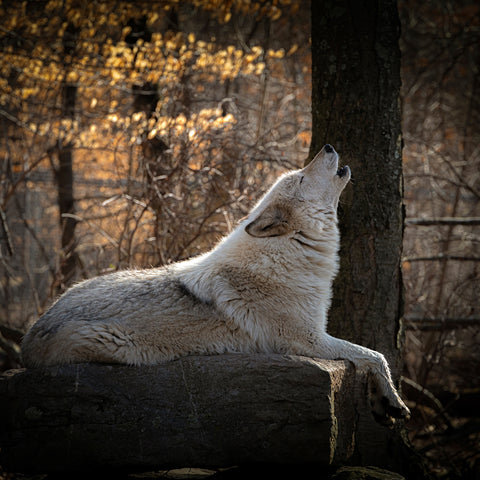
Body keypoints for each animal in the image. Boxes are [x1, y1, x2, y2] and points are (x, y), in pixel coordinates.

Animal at [21, 143, 408, 424]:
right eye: (300, 178)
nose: (327, 145)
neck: (288, 253)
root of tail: (28, 337)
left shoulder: (316, 335)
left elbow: (372, 354)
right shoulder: (307, 339)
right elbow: (375, 355)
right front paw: (394, 403)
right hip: (114, 344)